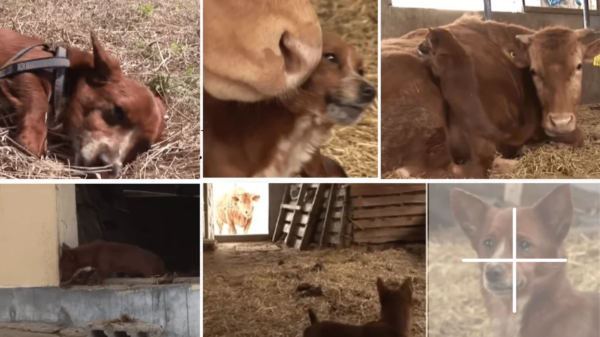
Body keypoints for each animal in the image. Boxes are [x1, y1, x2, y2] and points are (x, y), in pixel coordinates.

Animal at [0, 28, 166, 177]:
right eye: (118, 111)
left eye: (142, 148)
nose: (108, 168)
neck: (65, 73)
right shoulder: (22, 68)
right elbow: (38, 100)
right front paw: (33, 138)